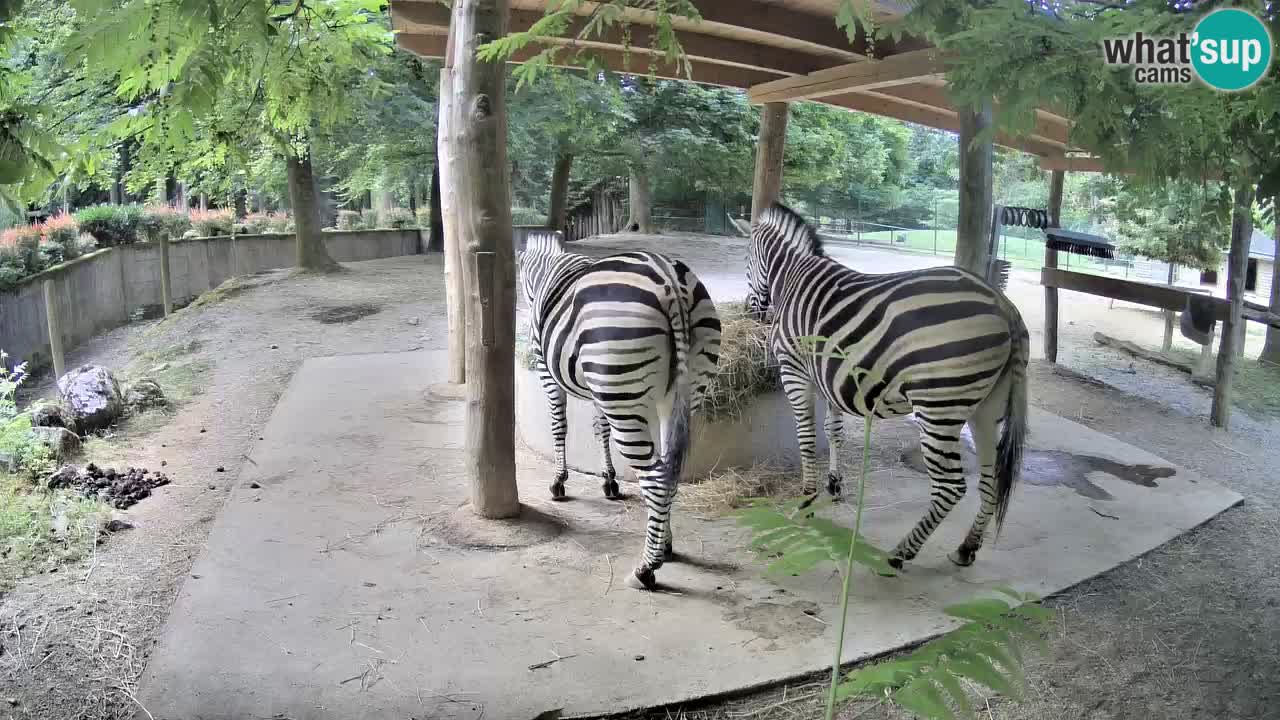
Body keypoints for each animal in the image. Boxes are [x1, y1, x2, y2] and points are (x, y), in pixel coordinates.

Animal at [517, 233, 721, 589]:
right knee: (668, 471)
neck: (547, 271)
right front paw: (609, 481)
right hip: (674, 393)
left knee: (655, 479)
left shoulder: (548, 372)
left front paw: (559, 482)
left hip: (623, 390)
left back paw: (647, 567)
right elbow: (600, 429)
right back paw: (664, 544)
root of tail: (670, 279)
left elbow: (559, 425)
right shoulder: (600, 390)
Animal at [745, 203, 1030, 570]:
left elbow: (807, 437)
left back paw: (900, 553)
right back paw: (966, 548)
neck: (793, 275)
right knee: (989, 480)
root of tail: (1004, 305)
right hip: (987, 407)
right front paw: (834, 485)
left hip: (939, 407)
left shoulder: (794, 369)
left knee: (951, 487)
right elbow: (833, 430)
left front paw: (806, 500)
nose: (751, 309)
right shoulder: (828, 376)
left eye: (747, 260)